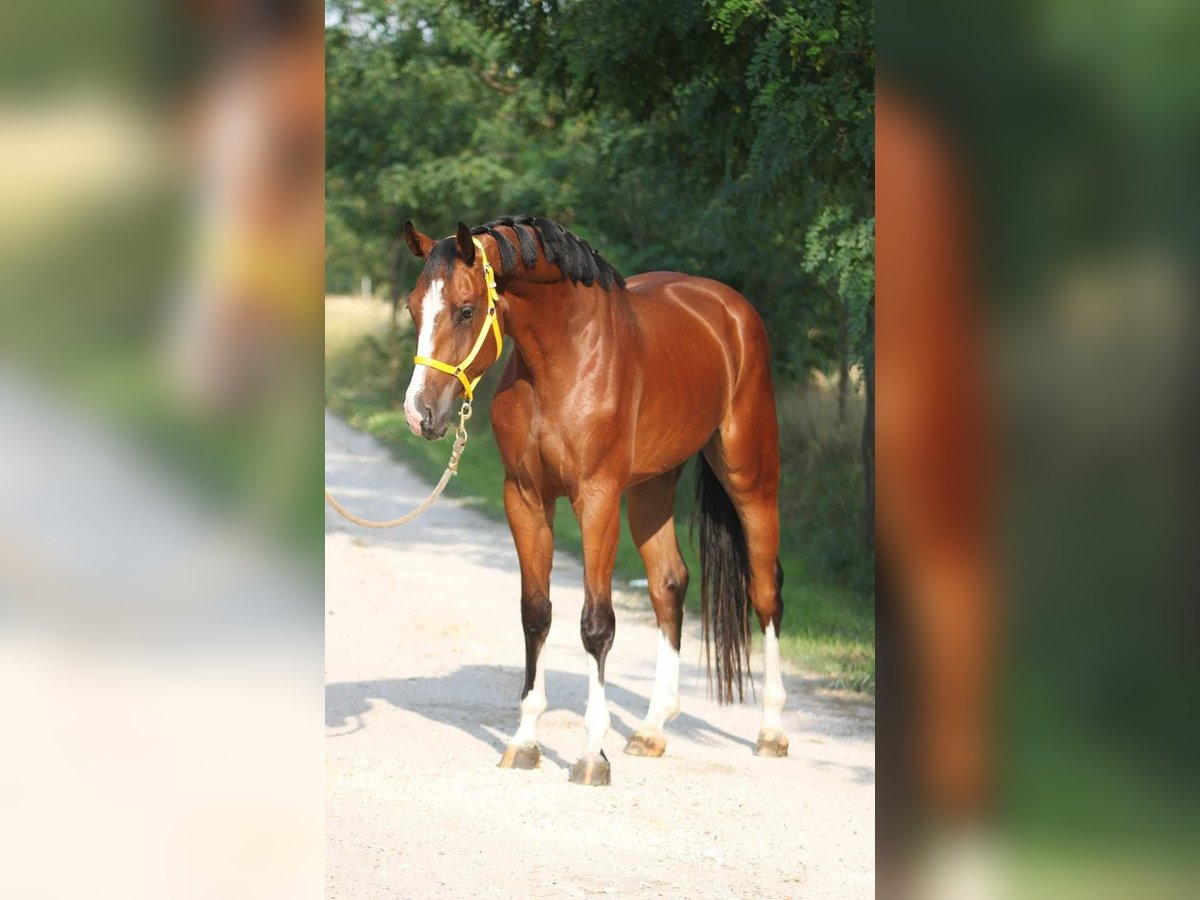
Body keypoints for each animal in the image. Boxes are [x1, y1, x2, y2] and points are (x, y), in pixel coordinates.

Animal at [398, 214, 787, 787]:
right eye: (413, 307)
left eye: (466, 310)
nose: (419, 413)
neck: (563, 358)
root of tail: (731, 310)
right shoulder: (525, 497)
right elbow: (535, 614)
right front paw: (524, 741)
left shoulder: (597, 499)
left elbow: (596, 624)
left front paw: (590, 755)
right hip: (652, 486)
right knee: (669, 584)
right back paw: (651, 728)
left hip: (750, 475)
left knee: (764, 589)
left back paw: (772, 730)